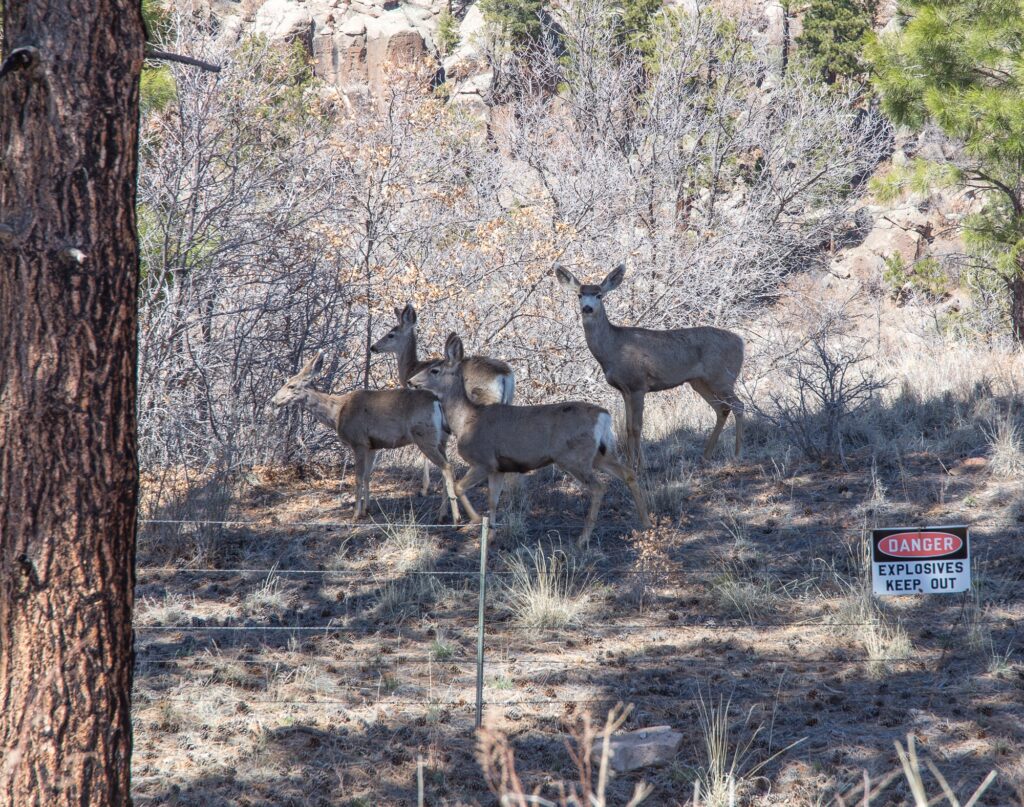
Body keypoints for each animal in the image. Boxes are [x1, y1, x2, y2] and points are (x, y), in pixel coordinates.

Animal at [271, 351, 461, 524]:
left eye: (291, 386)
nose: (273, 401)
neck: (337, 413)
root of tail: (437, 402)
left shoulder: (358, 441)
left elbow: (358, 477)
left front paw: (356, 514)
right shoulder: (372, 445)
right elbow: (368, 476)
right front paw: (367, 509)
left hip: (424, 436)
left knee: (447, 467)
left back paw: (456, 518)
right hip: (441, 439)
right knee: (446, 466)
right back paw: (442, 515)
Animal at [371, 302, 515, 495]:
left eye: (390, 334)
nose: (373, 347)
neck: (412, 368)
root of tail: (504, 374)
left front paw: (425, 487)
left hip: (485, 400)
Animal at [409, 333, 651, 547]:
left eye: (434, 370)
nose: (411, 381)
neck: (466, 421)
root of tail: (603, 415)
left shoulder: (483, 460)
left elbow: (459, 487)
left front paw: (476, 521)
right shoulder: (498, 467)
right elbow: (493, 500)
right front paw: (491, 536)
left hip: (574, 457)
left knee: (599, 487)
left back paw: (583, 539)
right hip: (600, 453)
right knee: (628, 473)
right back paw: (646, 522)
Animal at [554, 263, 745, 469]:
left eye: (599, 295)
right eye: (579, 295)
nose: (588, 308)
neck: (612, 350)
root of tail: (741, 342)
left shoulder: (638, 384)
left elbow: (637, 427)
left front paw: (641, 466)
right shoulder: (624, 389)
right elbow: (628, 427)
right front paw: (631, 464)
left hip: (722, 376)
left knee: (738, 405)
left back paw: (737, 455)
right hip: (700, 381)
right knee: (722, 409)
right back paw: (706, 455)